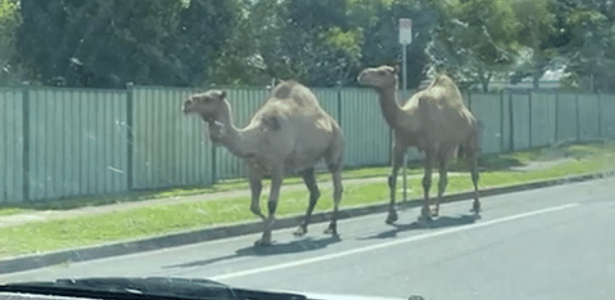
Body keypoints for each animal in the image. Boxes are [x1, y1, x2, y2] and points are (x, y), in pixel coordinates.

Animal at [183, 80, 346, 246]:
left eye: (208, 99)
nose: (187, 103)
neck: (258, 138)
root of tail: (333, 123)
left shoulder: (278, 167)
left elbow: (271, 203)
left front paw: (267, 236)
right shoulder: (252, 169)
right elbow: (253, 207)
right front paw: (265, 231)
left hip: (335, 150)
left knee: (337, 188)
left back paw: (332, 227)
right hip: (306, 165)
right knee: (315, 191)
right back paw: (302, 228)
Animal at [356, 65, 482, 223]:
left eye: (383, 72)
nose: (362, 74)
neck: (411, 119)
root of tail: (470, 116)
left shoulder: (430, 148)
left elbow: (426, 181)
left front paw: (424, 213)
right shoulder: (399, 146)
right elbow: (392, 179)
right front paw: (391, 215)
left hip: (470, 138)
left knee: (473, 172)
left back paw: (476, 205)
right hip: (447, 147)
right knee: (443, 177)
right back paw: (436, 210)